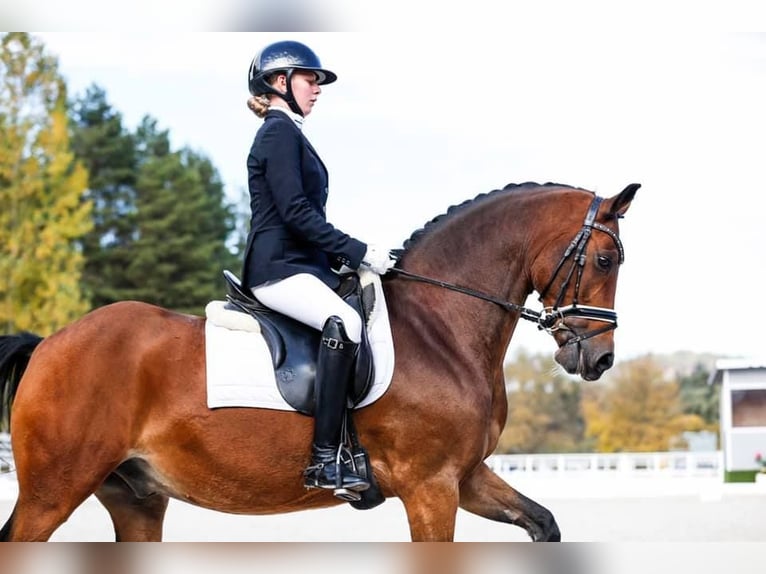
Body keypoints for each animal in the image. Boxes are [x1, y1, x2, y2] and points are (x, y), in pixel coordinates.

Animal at [0, 182, 640, 544]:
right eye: (605, 259)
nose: (599, 358)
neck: (441, 327)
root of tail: (50, 343)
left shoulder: (464, 476)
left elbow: (544, 523)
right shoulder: (431, 487)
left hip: (136, 497)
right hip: (55, 490)